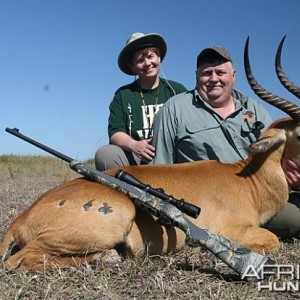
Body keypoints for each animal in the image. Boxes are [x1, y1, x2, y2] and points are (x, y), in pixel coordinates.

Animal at [0, 36, 300, 270]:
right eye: (299, 132)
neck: (246, 180)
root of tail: (21, 218)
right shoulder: (232, 231)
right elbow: (272, 240)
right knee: (19, 260)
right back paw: (107, 257)